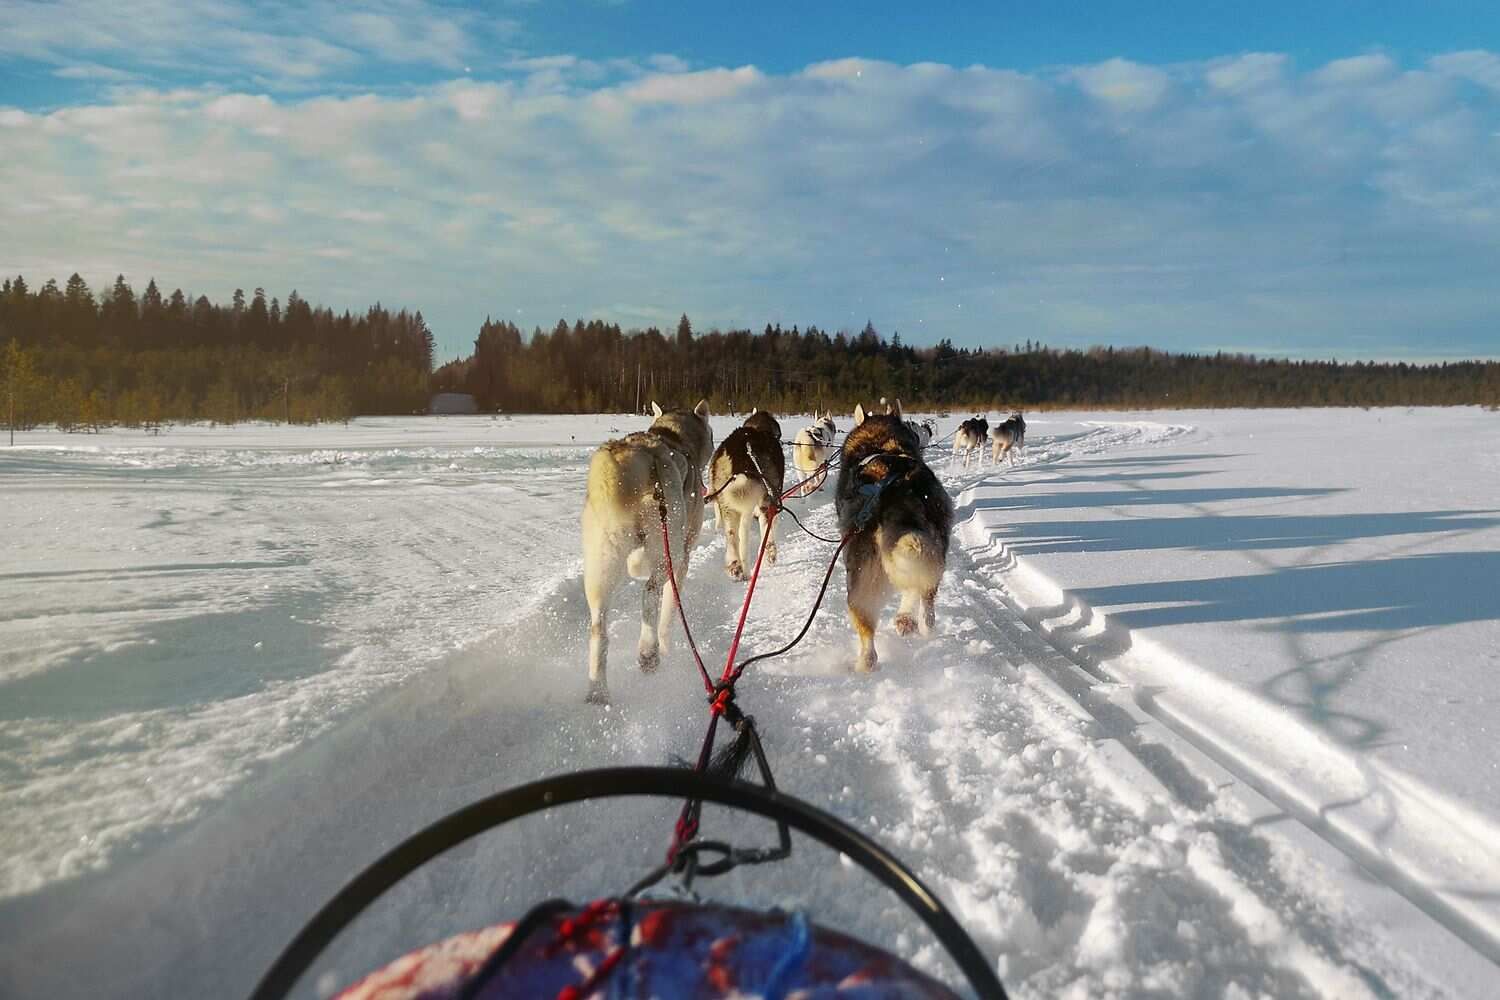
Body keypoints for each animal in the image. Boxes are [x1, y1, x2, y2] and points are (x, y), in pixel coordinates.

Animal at [581, 400, 714, 703]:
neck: (674, 437)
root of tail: (634, 455)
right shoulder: (682, 559)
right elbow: (668, 611)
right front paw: (665, 646)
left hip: (601, 568)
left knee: (599, 630)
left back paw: (598, 691)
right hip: (666, 551)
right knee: (650, 595)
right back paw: (649, 653)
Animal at [709, 409, 786, 580]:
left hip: (727, 501)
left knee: (732, 536)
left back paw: (735, 565)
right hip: (766, 499)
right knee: (762, 531)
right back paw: (766, 556)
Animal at [835, 401, 954, 673]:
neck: (881, 441)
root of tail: (898, 488)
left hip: (861, 576)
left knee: (869, 627)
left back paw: (865, 662)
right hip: (931, 551)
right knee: (924, 600)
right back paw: (908, 623)